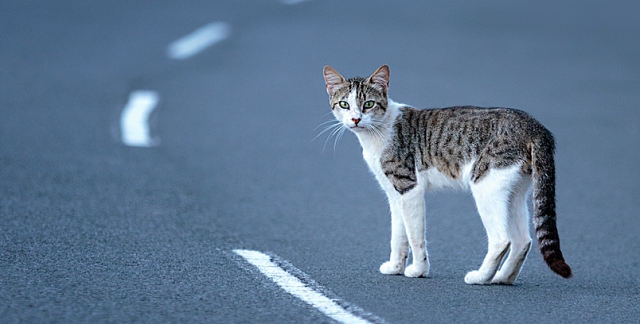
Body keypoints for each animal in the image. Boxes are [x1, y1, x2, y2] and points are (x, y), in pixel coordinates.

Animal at [322, 64, 572, 284]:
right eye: (344, 104)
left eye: (369, 104)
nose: (355, 119)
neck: (378, 132)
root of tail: (536, 127)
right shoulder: (394, 193)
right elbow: (398, 235)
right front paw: (395, 267)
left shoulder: (409, 187)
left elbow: (415, 236)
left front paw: (418, 270)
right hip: (514, 192)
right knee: (523, 241)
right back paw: (502, 279)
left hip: (486, 183)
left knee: (502, 240)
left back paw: (480, 278)